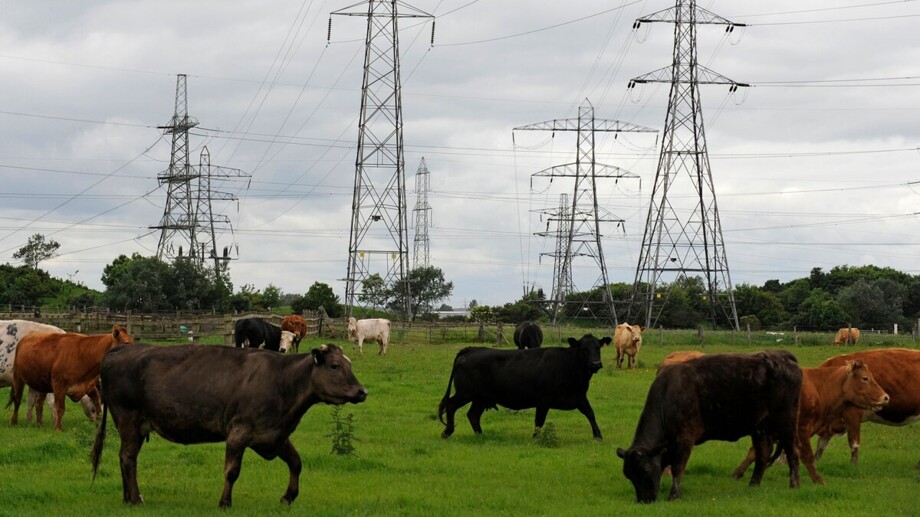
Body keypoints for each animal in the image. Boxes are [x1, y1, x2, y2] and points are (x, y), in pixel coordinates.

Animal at [90, 343, 367, 508]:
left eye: (350, 364)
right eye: (335, 366)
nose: (362, 391)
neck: (282, 380)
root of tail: (121, 348)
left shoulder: (274, 436)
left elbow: (296, 463)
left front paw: (289, 496)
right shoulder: (238, 432)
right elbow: (232, 471)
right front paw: (225, 502)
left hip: (136, 426)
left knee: (124, 457)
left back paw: (128, 497)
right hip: (128, 418)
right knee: (128, 458)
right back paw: (136, 499)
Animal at [438, 334, 612, 440]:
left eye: (598, 347)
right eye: (583, 349)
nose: (596, 364)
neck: (568, 365)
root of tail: (470, 349)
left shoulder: (580, 397)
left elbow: (590, 414)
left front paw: (598, 436)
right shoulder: (543, 401)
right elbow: (539, 421)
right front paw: (536, 439)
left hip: (480, 398)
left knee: (473, 414)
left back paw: (481, 435)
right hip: (465, 393)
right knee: (451, 405)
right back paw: (448, 431)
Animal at [617, 350, 802, 503]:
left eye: (645, 470)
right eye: (629, 475)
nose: (644, 500)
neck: (669, 396)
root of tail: (781, 356)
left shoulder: (685, 439)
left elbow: (677, 468)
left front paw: (674, 495)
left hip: (787, 422)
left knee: (792, 452)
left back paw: (794, 485)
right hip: (760, 427)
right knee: (762, 454)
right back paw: (753, 485)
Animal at [731, 360, 889, 485]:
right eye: (865, 378)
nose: (886, 397)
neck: (818, 388)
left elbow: (755, 453)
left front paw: (737, 473)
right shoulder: (801, 430)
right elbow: (808, 456)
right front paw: (818, 480)